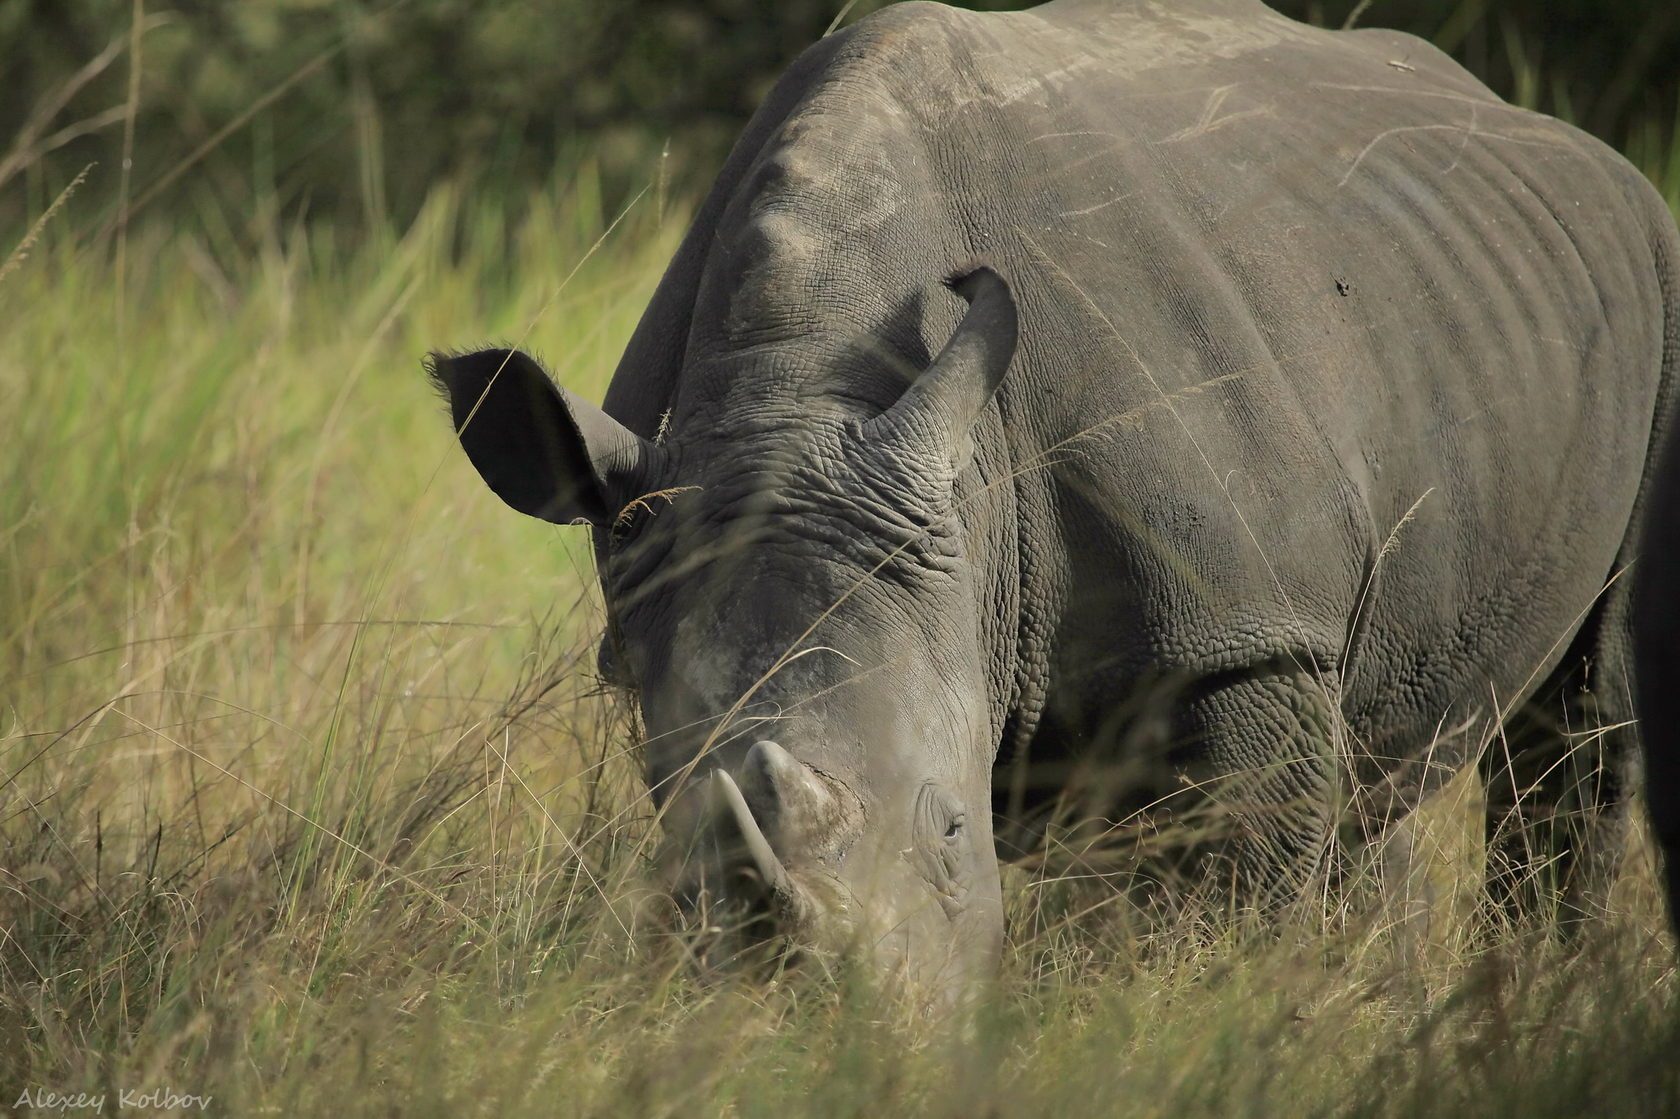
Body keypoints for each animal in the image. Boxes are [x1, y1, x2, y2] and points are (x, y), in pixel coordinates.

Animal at [431, 0, 1680, 999]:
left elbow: (1232, 899)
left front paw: (1207, 1020)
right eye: (685, 831)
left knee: (1580, 726)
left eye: (952, 826)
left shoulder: (1245, 632)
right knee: (1384, 757)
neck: (800, 392)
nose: (818, 1022)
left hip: (1652, 290)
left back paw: (1543, 994)